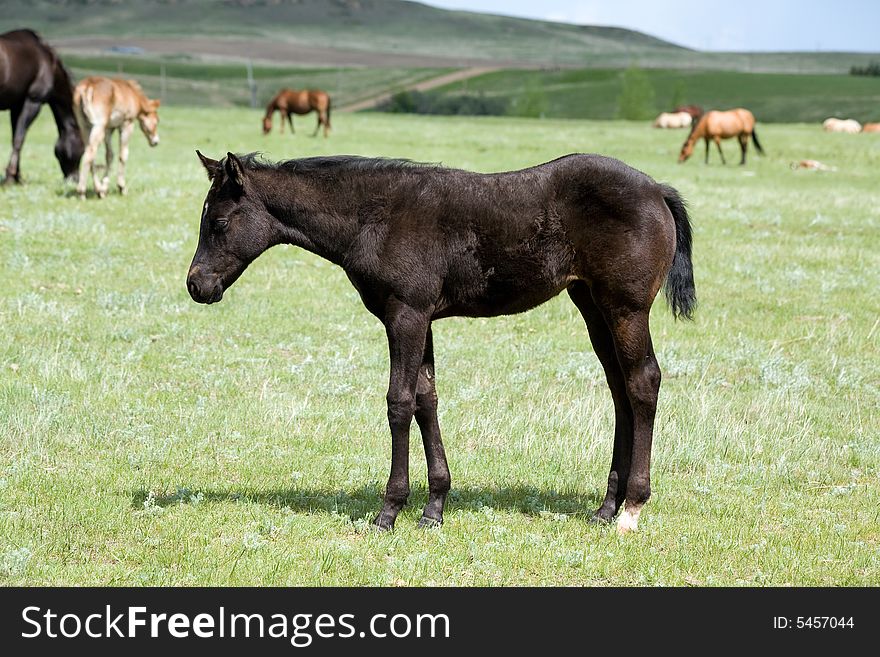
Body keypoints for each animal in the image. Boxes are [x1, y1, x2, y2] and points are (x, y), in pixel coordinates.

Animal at [0, 29, 83, 183]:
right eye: (83, 147)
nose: (75, 178)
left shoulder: (16, 106)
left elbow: (15, 137)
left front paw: (17, 177)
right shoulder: (33, 101)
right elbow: (19, 139)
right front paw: (10, 176)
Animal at [186, 150, 696, 532]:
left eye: (219, 223)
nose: (196, 285)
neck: (374, 216)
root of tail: (658, 190)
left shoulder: (405, 315)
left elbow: (398, 402)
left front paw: (389, 511)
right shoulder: (421, 318)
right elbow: (426, 400)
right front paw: (434, 508)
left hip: (626, 308)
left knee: (642, 383)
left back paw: (632, 508)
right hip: (591, 304)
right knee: (619, 390)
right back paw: (606, 507)